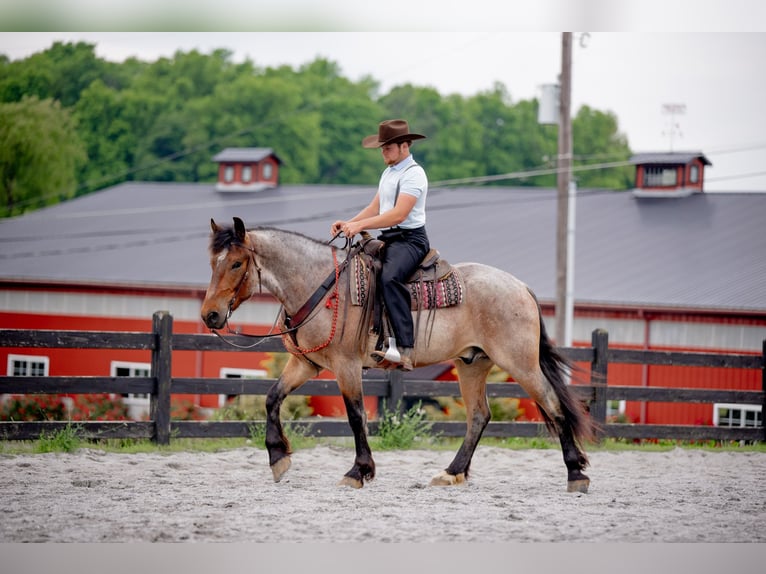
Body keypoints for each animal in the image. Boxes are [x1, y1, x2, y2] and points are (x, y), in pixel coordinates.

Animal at [201, 217, 596, 496]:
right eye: (212, 262)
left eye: (236, 263)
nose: (210, 316)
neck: (321, 285)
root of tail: (521, 287)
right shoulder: (306, 363)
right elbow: (272, 398)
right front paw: (278, 458)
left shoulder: (346, 366)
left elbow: (356, 416)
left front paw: (358, 472)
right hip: (472, 364)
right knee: (478, 417)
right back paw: (451, 473)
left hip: (521, 364)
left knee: (553, 405)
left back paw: (576, 473)